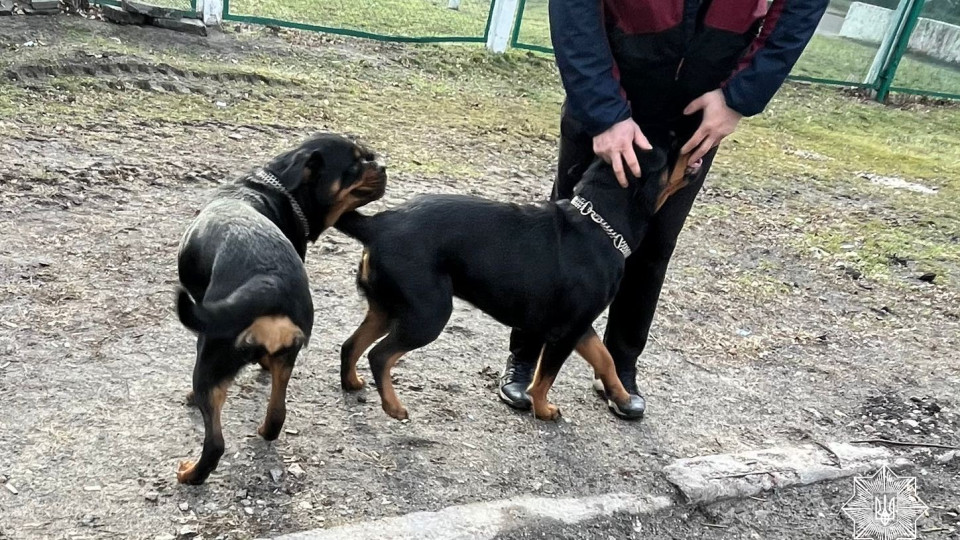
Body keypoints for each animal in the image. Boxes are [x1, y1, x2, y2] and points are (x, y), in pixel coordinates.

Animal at [174, 132, 384, 486]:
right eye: (357, 163)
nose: (382, 165)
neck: (276, 188)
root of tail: (270, 281)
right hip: (286, 358)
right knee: (276, 417)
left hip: (209, 358)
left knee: (215, 443)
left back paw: (191, 474)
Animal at [338, 147, 688, 422]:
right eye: (669, 149)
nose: (692, 147)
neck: (600, 227)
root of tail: (378, 225)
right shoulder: (567, 332)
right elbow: (546, 377)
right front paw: (543, 410)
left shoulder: (581, 326)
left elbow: (605, 358)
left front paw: (622, 396)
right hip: (427, 314)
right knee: (379, 355)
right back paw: (393, 407)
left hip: (386, 308)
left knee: (351, 345)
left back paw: (351, 383)